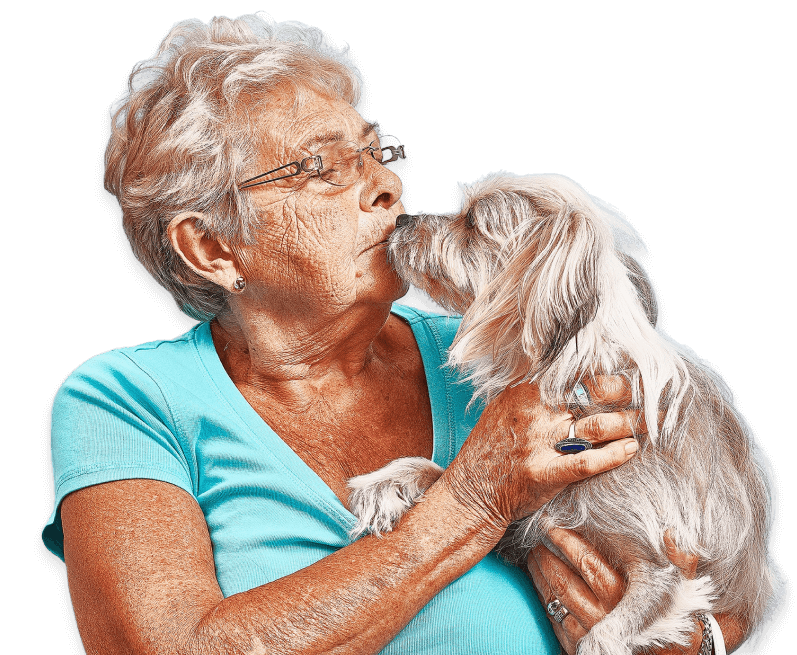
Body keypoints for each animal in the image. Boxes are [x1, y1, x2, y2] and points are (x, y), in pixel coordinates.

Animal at [348, 173, 784, 655]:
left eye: (474, 224)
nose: (402, 218)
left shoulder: (664, 568)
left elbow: (603, 636)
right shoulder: (516, 504)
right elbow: (447, 475)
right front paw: (388, 482)